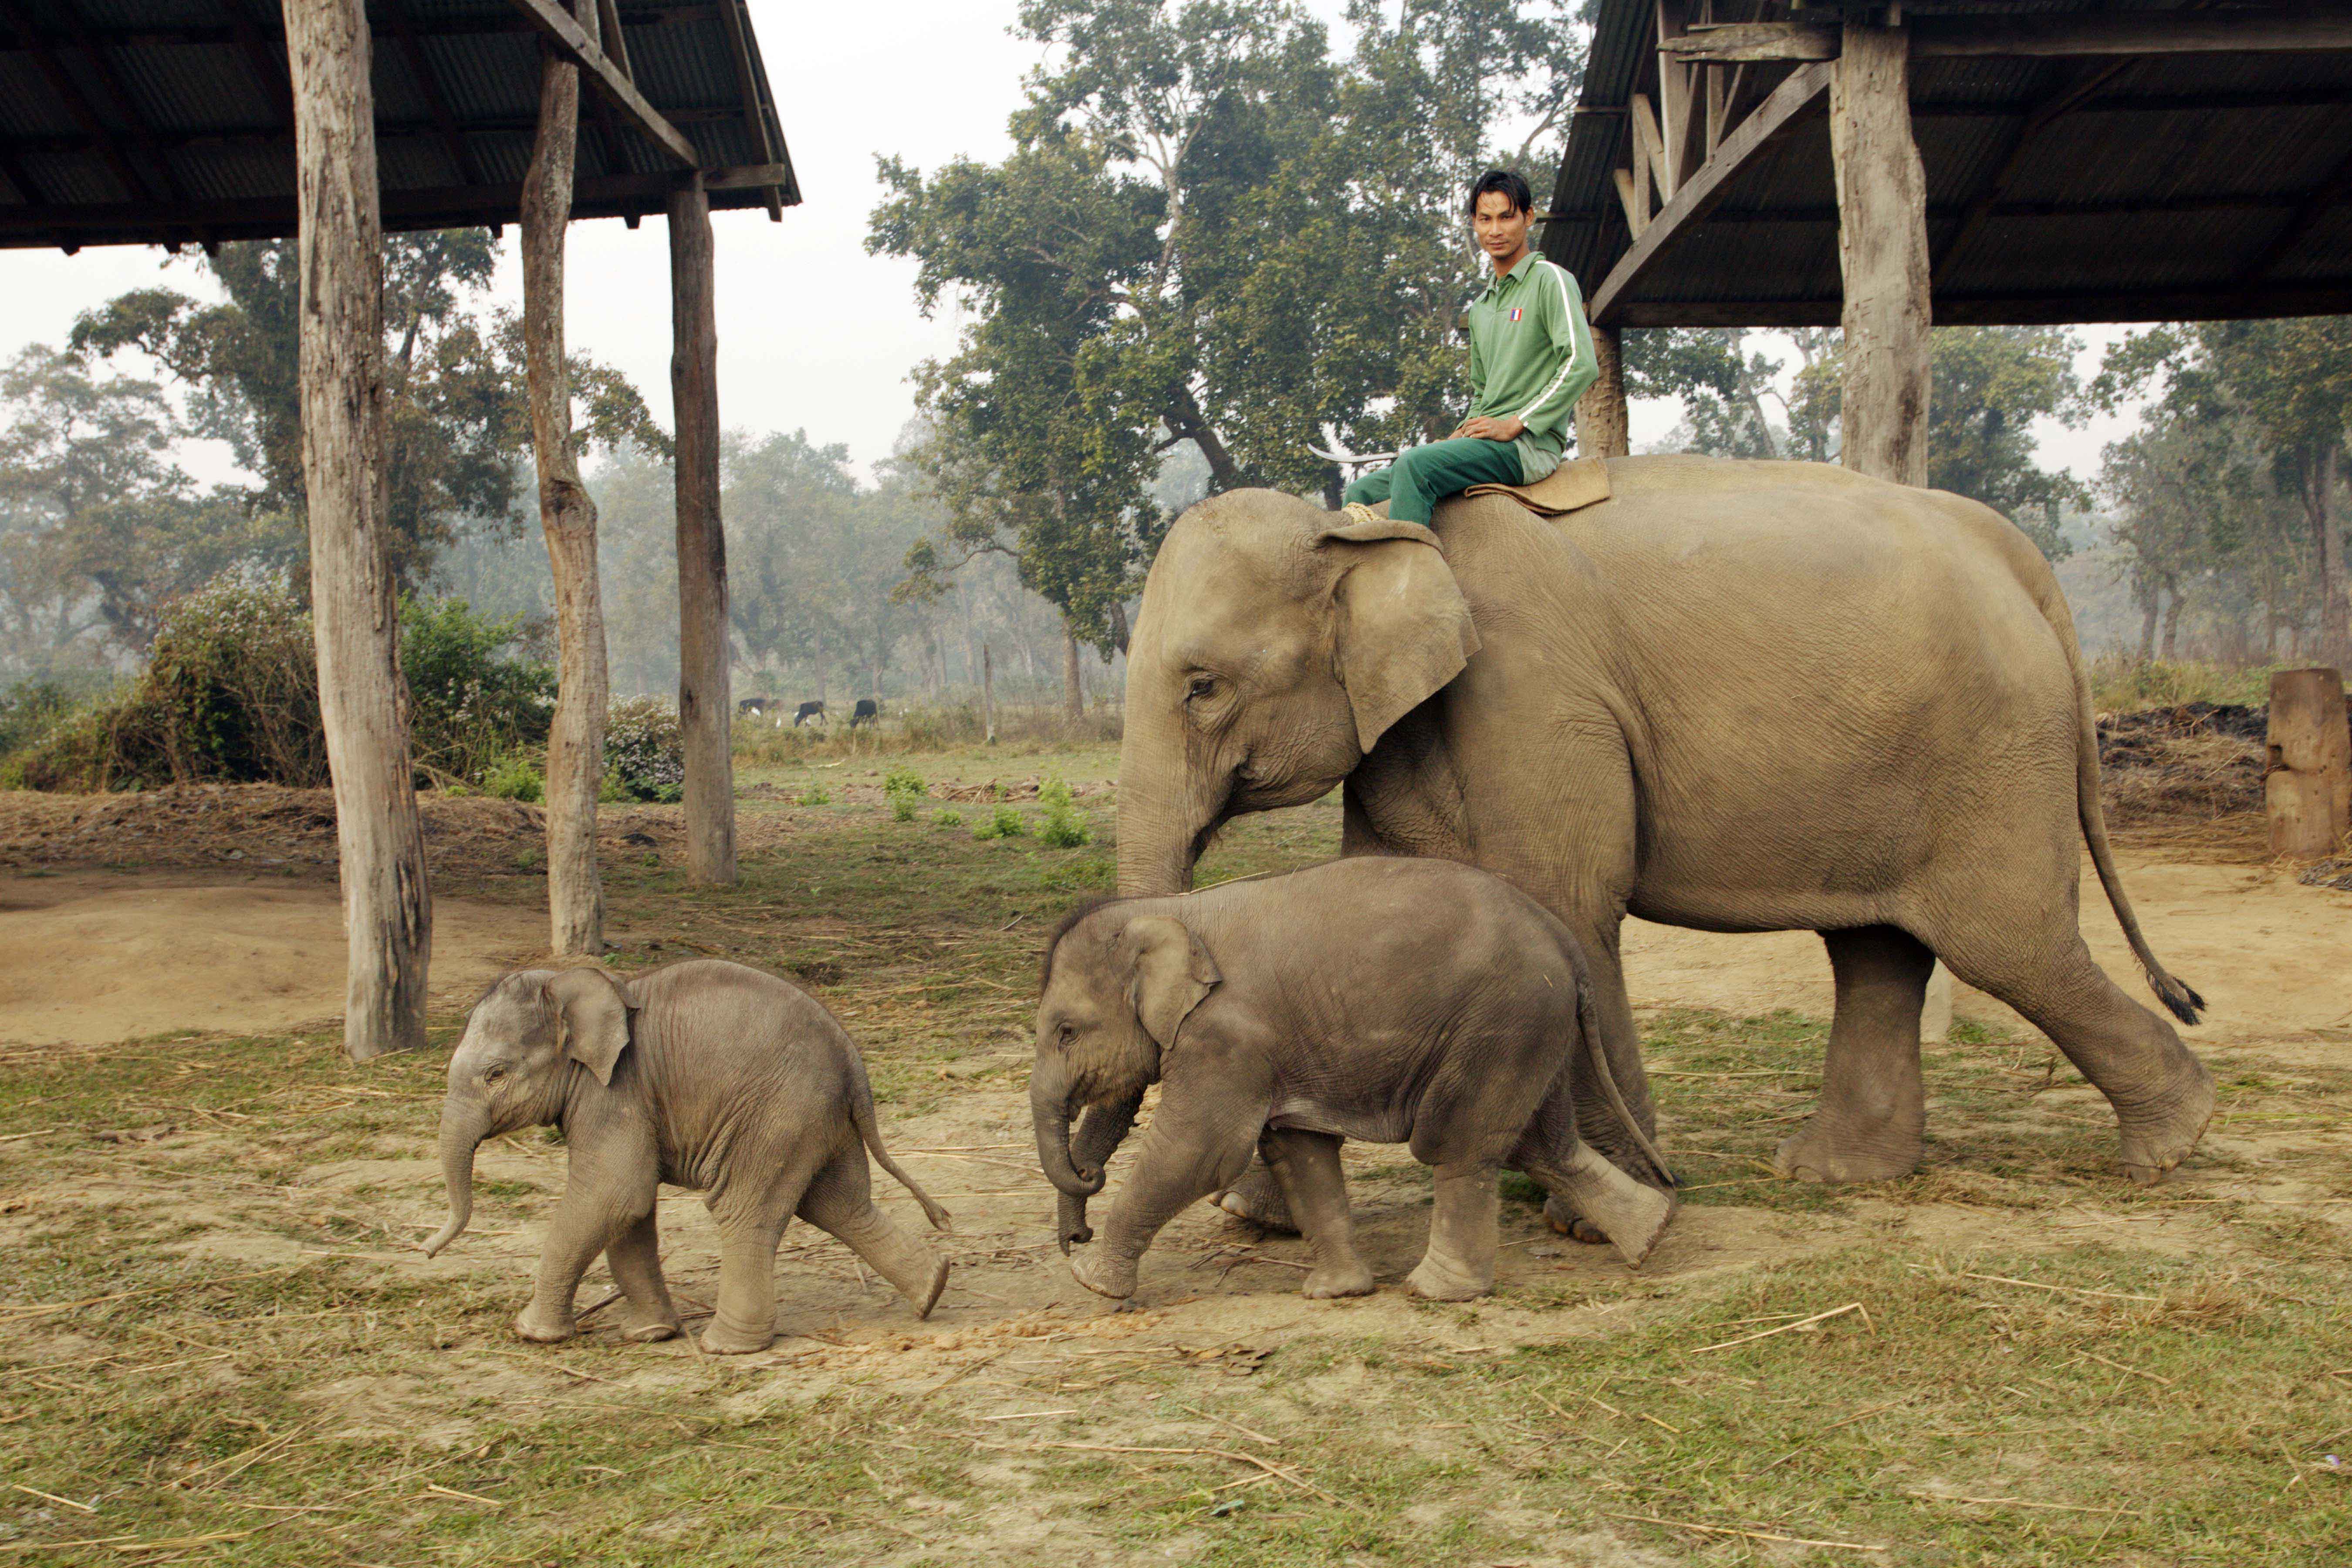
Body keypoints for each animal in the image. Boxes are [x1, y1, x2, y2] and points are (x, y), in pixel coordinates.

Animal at [423, 950, 945, 1354]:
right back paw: (933, 1290)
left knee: (743, 1209)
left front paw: (533, 1334)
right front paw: (651, 1334)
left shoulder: (615, 1092)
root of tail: (851, 1057)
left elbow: (615, 1193)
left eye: (495, 1074)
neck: (572, 984)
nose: (425, 1250)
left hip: (776, 1115)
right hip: (819, 1121)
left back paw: (727, 1347)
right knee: (840, 1205)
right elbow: (630, 1211)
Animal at [1030, 851, 1674, 1307]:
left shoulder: (1227, 1040)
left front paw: (1090, 1281)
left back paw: (1436, 1292)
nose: (1076, 1235)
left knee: (1459, 1144)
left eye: (1066, 1031)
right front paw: (1336, 1293)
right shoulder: (1272, 1052)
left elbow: (1200, 1151)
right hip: (1535, 1032)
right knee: (1544, 1144)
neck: (1173, 910)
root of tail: (1565, 942)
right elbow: (1300, 1150)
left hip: (1502, 1026)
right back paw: (1650, 1237)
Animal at [1077, 453, 2211, 1241]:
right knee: (1877, 949)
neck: (1362, 530)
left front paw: (1593, 1209)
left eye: (1203, 686)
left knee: (2010, 946)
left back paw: (2171, 1144)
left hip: (1992, 750)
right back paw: (1837, 1174)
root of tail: (2018, 559)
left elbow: (1569, 904)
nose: (1083, 1196)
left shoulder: (1533, 691)